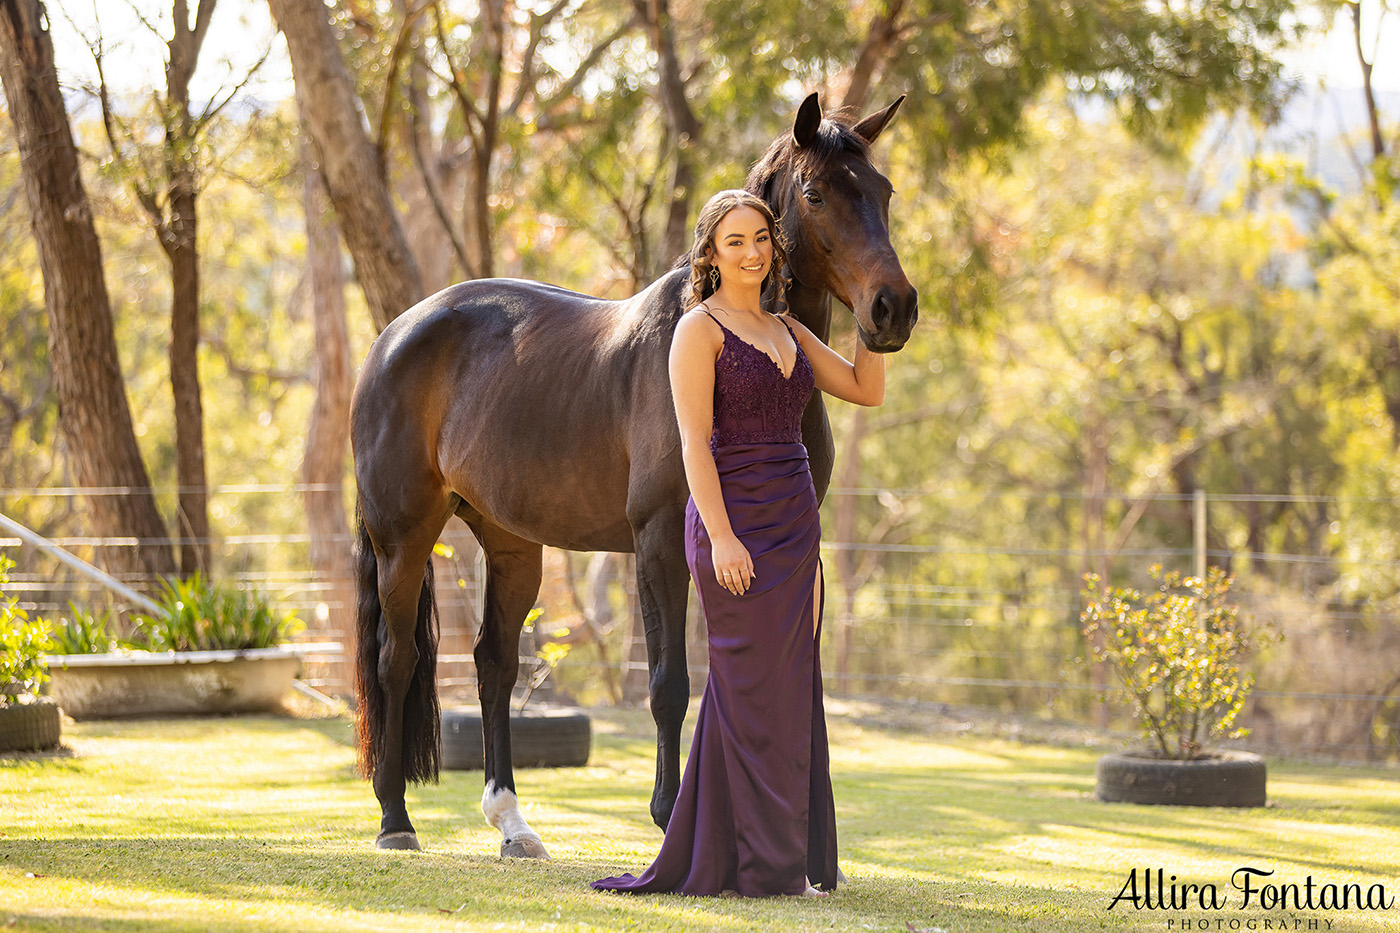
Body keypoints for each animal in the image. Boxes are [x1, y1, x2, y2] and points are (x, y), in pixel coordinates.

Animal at [350, 91, 918, 851]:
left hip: (512, 545)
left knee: (494, 663)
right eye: (816, 193)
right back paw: (395, 819)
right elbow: (668, 682)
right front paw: (669, 814)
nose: (894, 308)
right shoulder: (659, 542)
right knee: (397, 661)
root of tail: (392, 337)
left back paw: (511, 822)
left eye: (883, 192)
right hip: (404, 538)